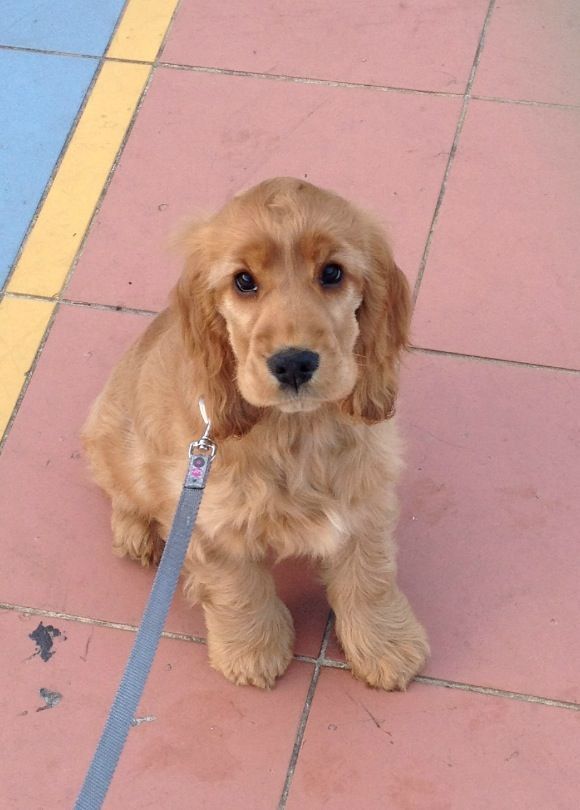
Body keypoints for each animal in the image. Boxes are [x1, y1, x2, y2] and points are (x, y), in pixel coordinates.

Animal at [82, 177, 426, 688]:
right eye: (244, 281)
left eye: (332, 273)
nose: (294, 363)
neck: (295, 430)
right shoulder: (210, 520)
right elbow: (237, 589)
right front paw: (252, 652)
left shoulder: (365, 496)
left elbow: (370, 577)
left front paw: (388, 645)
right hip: (112, 436)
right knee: (123, 490)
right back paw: (136, 534)